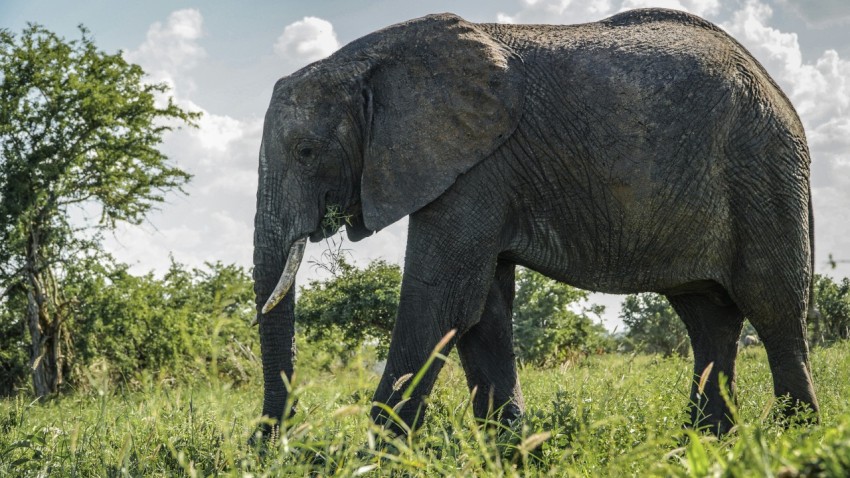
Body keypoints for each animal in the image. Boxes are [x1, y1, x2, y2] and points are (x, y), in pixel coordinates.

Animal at [252, 7, 816, 436]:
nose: (277, 443)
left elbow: (441, 302)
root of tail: (776, 88)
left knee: (776, 311)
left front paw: (377, 455)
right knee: (709, 320)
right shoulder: (476, 168)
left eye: (306, 151)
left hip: (762, 171)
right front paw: (513, 451)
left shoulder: (476, 167)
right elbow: (482, 310)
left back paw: (795, 438)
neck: (368, 60)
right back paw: (706, 444)